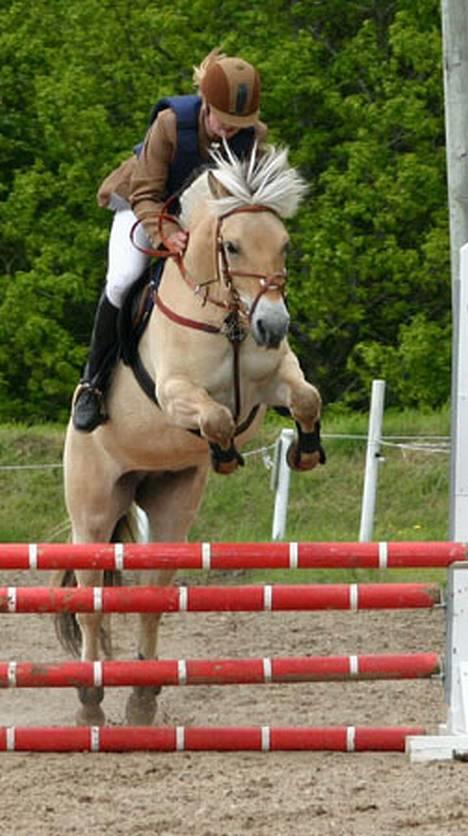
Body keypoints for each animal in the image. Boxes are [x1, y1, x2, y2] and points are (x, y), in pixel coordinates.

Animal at [56, 144, 324, 724]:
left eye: (285, 245)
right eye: (231, 244)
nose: (274, 326)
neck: (230, 318)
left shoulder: (275, 378)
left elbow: (306, 398)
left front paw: (307, 451)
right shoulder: (177, 392)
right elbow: (217, 418)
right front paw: (223, 454)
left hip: (169, 504)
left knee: (151, 601)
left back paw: (142, 697)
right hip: (92, 515)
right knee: (91, 607)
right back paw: (90, 702)